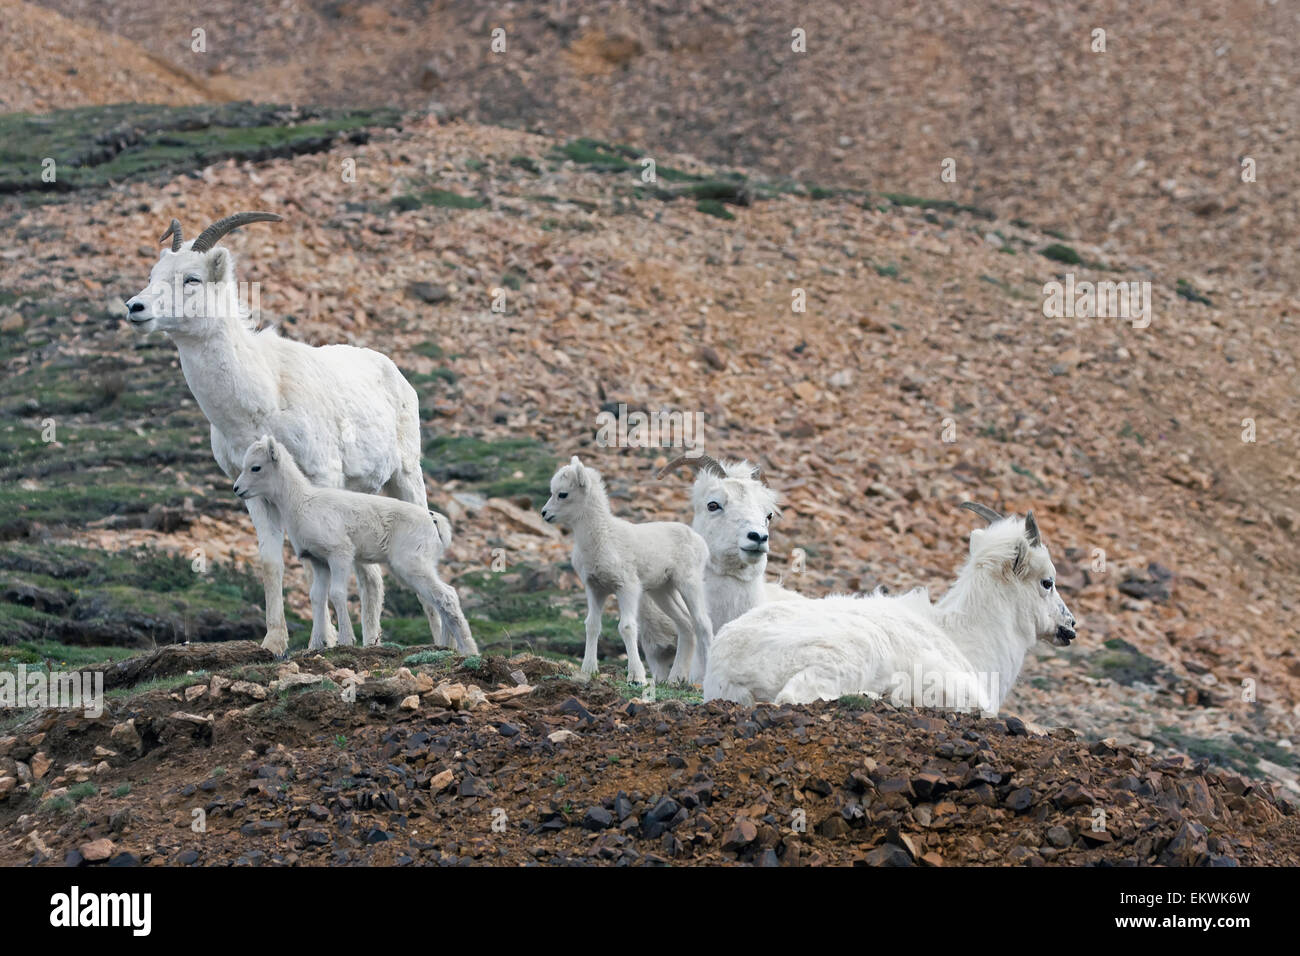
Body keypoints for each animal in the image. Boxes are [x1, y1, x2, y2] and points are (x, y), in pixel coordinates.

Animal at [125, 212, 427, 656]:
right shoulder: (254, 494)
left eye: (192, 279)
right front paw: (274, 642)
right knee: (371, 575)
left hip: (405, 477)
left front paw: (325, 641)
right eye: (153, 275)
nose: (135, 308)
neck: (262, 398)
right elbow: (272, 562)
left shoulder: (320, 480)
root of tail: (392, 371)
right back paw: (370, 642)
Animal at [233, 435, 477, 655]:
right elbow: (317, 597)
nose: (237, 489)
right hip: (415, 568)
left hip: (412, 565)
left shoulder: (340, 555)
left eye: (255, 467)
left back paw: (469, 650)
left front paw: (345, 641)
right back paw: (447, 647)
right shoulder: (319, 562)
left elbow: (337, 594)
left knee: (446, 597)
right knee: (442, 597)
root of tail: (435, 522)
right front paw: (316, 645)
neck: (300, 504)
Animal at [540, 456, 713, 684]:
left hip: (689, 584)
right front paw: (588, 670)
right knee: (686, 624)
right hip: (662, 591)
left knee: (703, 624)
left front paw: (637, 677)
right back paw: (675, 679)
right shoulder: (595, 589)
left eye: (562, 494)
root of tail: (699, 540)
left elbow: (627, 627)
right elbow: (592, 625)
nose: (544, 514)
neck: (601, 538)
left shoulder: (627, 588)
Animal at [703, 502, 1078, 713]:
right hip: (847, 655)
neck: (966, 640)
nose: (1070, 627)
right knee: (797, 696)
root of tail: (726, 665)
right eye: (1047, 582)